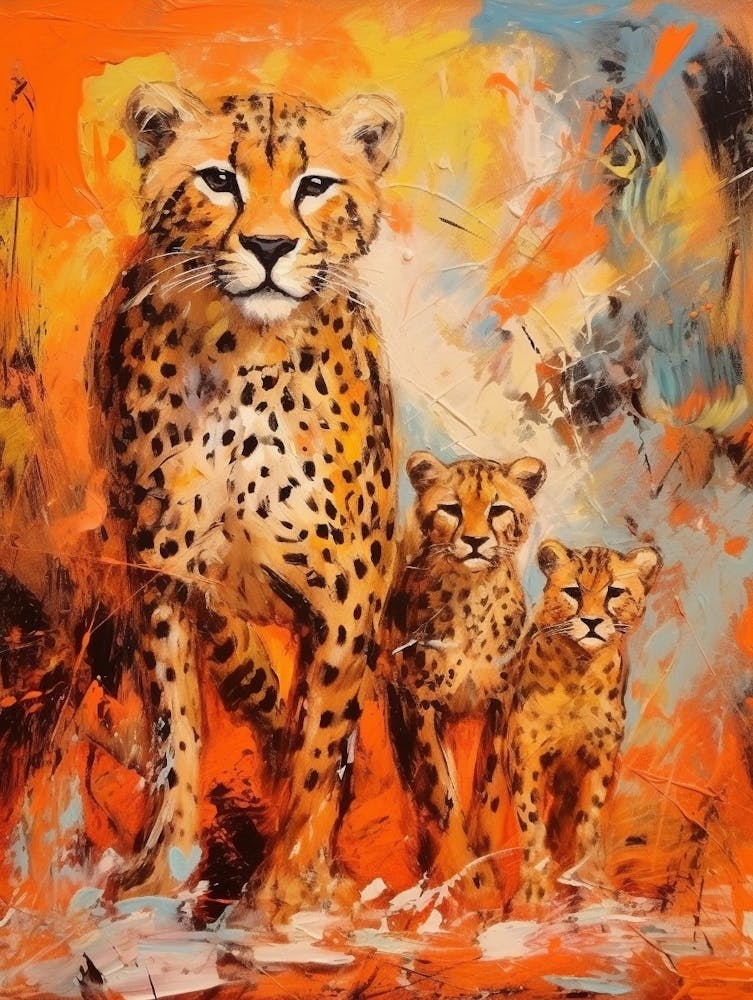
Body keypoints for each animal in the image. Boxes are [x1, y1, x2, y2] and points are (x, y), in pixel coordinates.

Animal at [86, 80, 402, 920]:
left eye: (314, 184)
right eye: (217, 179)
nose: (266, 247)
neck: (244, 352)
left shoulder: (347, 594)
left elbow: (319, 743)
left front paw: (283, 892)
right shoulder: (161, 566)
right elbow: (178, 725)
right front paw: (163, 867)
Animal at [384, 450, 546, 894]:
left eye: (498, 510)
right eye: (451, 509)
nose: (475, 541)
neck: (473, 599)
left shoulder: (500, 704)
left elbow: (489, 786)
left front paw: (485, 848)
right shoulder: (420, 705)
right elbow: (441, 789)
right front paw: (469, 871)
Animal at [497, 540, 662, 909]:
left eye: (614, 591)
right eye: (573, 591)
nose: (591, 622)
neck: (580, 670)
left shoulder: (599, 759)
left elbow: (589, 821)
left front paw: (592, 885)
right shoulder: (526, 758)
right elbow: (532, 822)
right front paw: (534, 890)